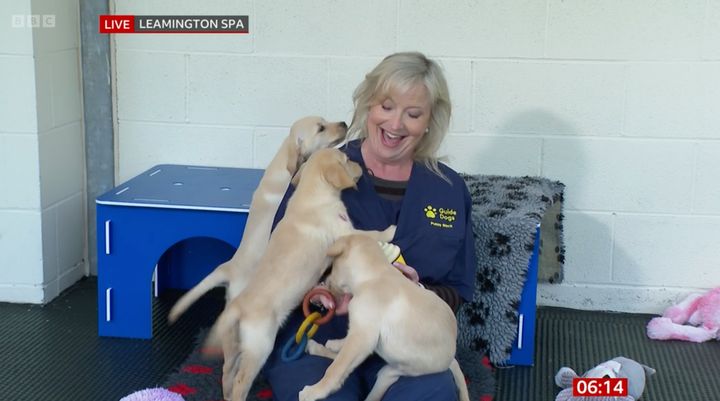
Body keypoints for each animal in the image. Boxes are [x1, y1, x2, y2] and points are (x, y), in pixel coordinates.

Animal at [205, 148, 396, 400]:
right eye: (347, 160)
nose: (363, 169)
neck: (312, 193)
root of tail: (238, 305)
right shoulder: (344, 232)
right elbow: (370, 234)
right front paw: (389, 231)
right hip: (260, 346)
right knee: (240, 380)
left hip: (238, 345)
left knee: (227, 372)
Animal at [296, 233, 470, 400]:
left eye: (331, 268)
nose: (323, 283)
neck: (373, 274)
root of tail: (452, 356)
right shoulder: (362, 334)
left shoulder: (363, 336)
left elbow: (336, 369)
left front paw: (315, 391)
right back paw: (325, 345)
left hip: (404, 367)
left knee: (384, 375)